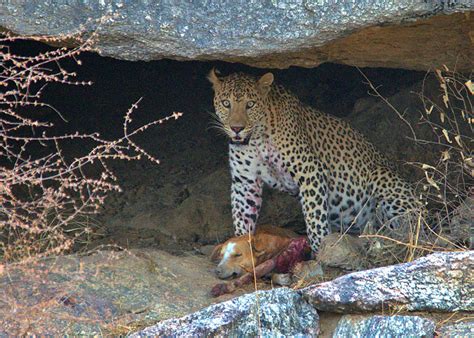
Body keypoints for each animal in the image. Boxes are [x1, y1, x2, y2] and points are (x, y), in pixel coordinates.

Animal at [208, 68, 422, 252]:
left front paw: (319, 251)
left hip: (382, 177)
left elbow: (315, 219)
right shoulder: (245, 182)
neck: (256, 140)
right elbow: (242, 218)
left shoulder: (310, 172)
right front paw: (241, 250)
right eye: (226, 103)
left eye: (250, 105)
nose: (236, 128)